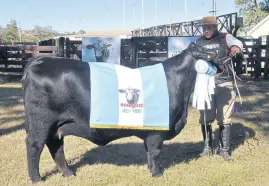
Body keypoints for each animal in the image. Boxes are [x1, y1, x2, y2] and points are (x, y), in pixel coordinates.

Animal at [22, 42, 217, 183]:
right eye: (207, 53)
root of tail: (39, 61)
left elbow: (149, 152)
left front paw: (151, 170)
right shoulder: (157, 130)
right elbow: (155, 152)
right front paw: (157, 174)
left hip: (57, 126)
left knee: (56, 147)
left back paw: (68, 174)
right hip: (41, 123)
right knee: (35, 146)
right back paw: (37, 179)